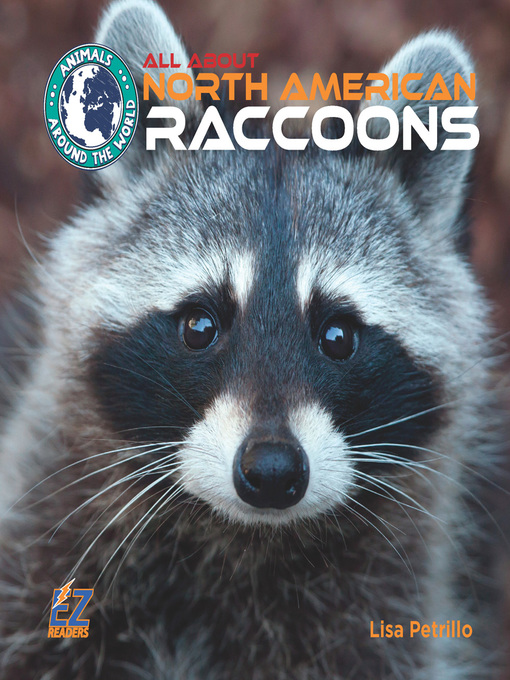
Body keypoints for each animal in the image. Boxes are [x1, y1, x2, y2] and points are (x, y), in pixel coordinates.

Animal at [0, 1, 503, 678]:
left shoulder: (381, 621)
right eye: (200, 326)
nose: (271, 471)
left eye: (337, 336)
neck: (239, 538)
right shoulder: (38, 543)